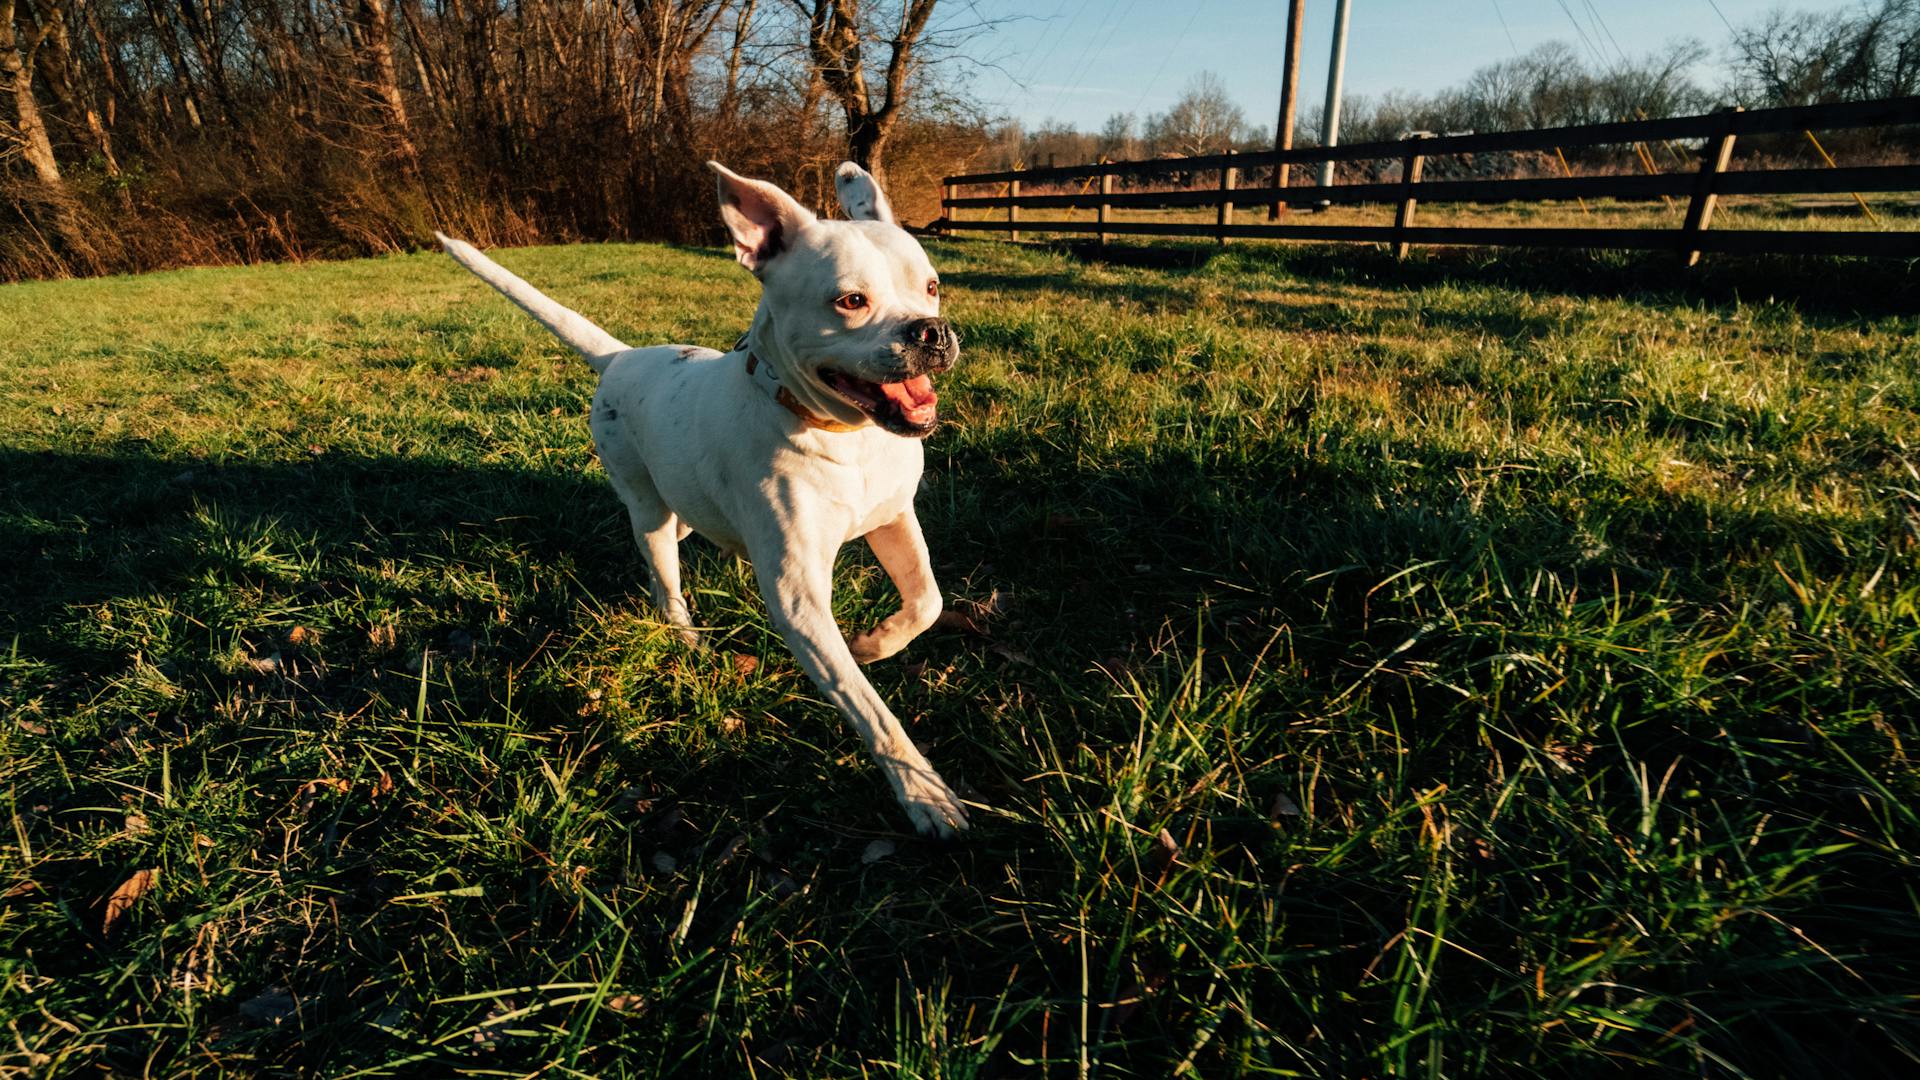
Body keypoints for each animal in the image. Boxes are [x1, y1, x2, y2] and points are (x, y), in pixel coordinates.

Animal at [439, 159, 975, 834]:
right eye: (851, 301)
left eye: (931, 287)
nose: (932, 331)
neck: (840, 434)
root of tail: (620, 358)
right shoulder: (799, 602)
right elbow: (868, 707)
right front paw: (922, 792)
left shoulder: (893, 518)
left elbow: (926, 601)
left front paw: (874, 644)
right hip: (646, 505)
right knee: (662, 572)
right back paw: (684, 634)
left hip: (686, 508)